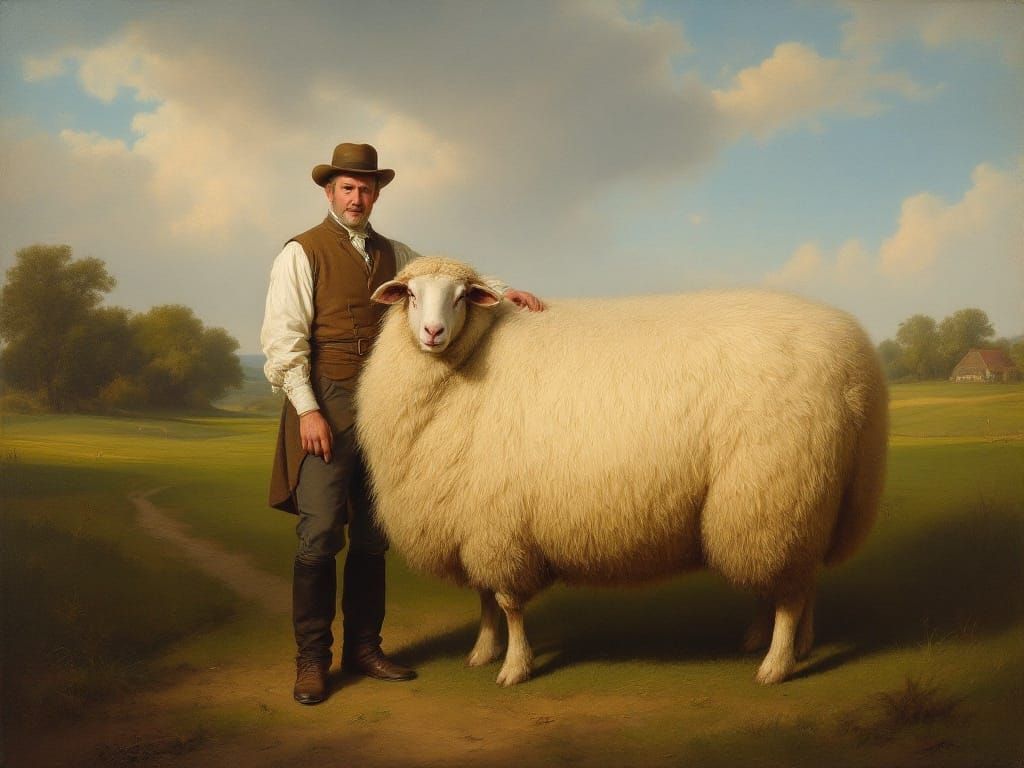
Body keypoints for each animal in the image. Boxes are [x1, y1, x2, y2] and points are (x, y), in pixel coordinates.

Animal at [354, 256, 888, 687]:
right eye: (410, 295)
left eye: (462, 296)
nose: (433, 333)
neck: (465, 367)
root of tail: (859, 370)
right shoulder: (469, 520)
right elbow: (485, 600)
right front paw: (484, 652)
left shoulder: (497, 522)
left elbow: (508, 604)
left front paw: (514, 668)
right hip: (806, 499)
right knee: (800, 579)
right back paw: (789, 643)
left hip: (774, 490)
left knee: (789, 593)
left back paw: (775, 665)